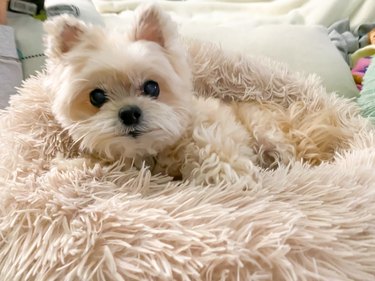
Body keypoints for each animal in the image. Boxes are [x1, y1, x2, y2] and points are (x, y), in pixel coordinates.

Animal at [44, 4, 356, 187]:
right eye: (96, 97)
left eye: (152, 87)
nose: (130, 112)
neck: (155, 151)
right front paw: (69, 167)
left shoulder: (212, 128)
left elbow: (214, 150)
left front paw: (221, 178)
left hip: (272, 134)